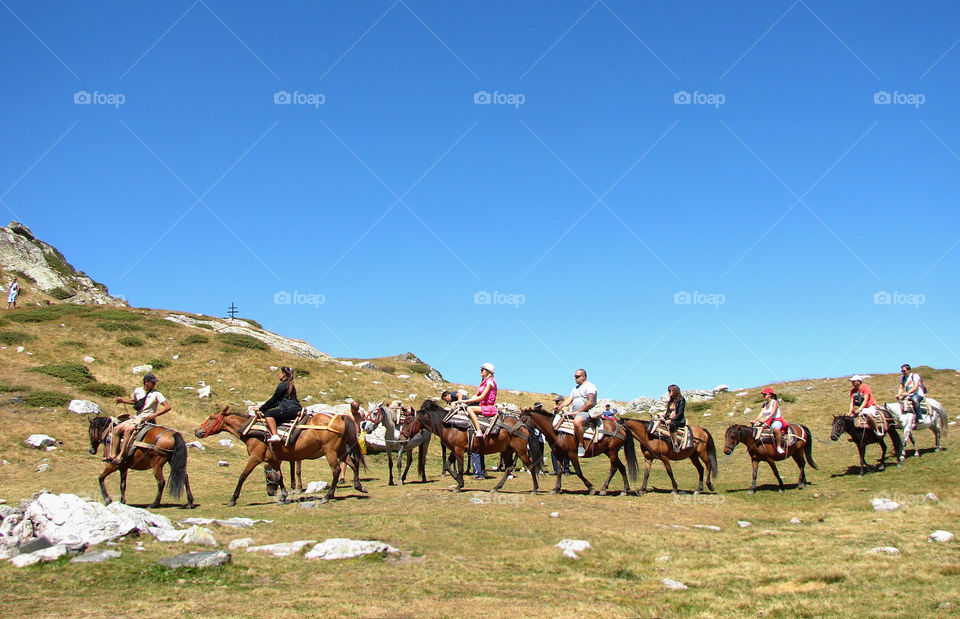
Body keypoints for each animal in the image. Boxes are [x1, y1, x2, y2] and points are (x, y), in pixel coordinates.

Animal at [194, 405, 366, 505]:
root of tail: (340, 417)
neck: (251, 430)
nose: (197, 431)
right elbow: (280, 477)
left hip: (330, 451)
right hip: (341, 451)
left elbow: (243, 476)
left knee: (336, 470)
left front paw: (233, 499)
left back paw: (327, 496)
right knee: (353, 464)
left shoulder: (255, 457)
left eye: (211, 418)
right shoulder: (273, 458)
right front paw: (283, 495)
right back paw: (359, 486)